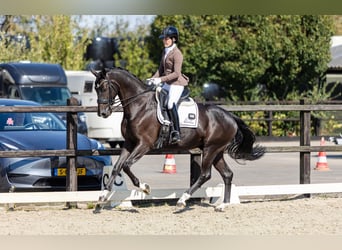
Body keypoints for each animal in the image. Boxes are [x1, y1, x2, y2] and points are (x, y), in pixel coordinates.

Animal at [90, 67, 264, 212]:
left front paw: (145, 187)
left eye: (104, 87)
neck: (140, 106)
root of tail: (230, 116)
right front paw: (102, 197)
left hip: (211, 149)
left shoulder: (144, 144)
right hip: (217, 151)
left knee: (205, 174)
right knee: (227, 174)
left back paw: (183, 200)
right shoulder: (129, 143)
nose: (103, 113)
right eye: (95, 89)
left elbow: (126, 165)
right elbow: (116, 168)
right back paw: (222, 205)